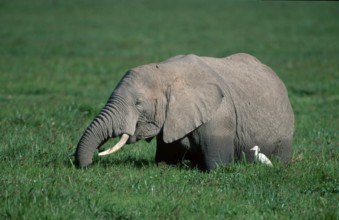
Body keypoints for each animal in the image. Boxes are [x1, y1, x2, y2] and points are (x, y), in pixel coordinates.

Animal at [75, 53, 294, 172]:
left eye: (138, 104)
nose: (88, 165)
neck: (166, 72)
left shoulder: (219, 116)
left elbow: (218, 167)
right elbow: (165, 160)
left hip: (285, 134)